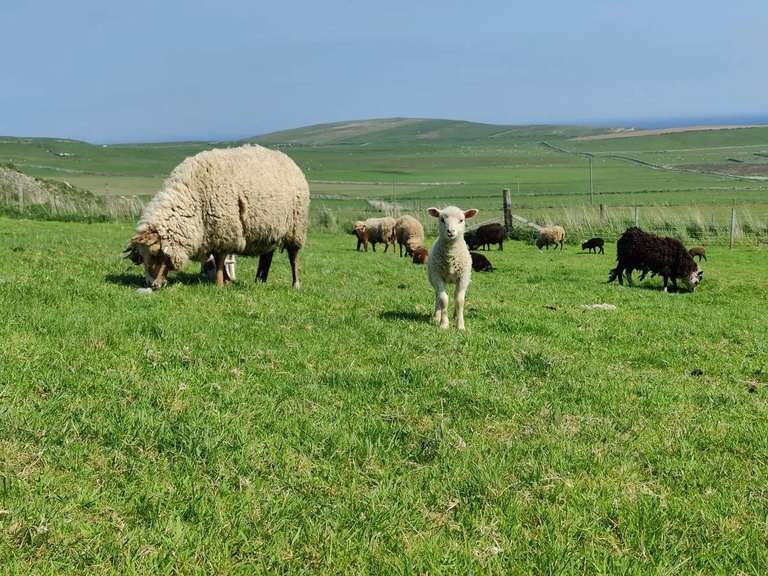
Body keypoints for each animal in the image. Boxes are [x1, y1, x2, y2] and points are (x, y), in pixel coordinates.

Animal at [124, 144, 309, 289]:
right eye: (142, 257)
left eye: (156, 253)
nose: (153, 285)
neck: (194, 200)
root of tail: (287, 159)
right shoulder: (213, 233)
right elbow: (219, 259)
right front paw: (226, 281)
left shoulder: (223, 231)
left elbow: (220, 259)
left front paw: (220, 284)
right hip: (269, 228)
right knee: (266, 256)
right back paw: (259, 280)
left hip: (295, 227)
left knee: (293, 257)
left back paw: (295, 284)